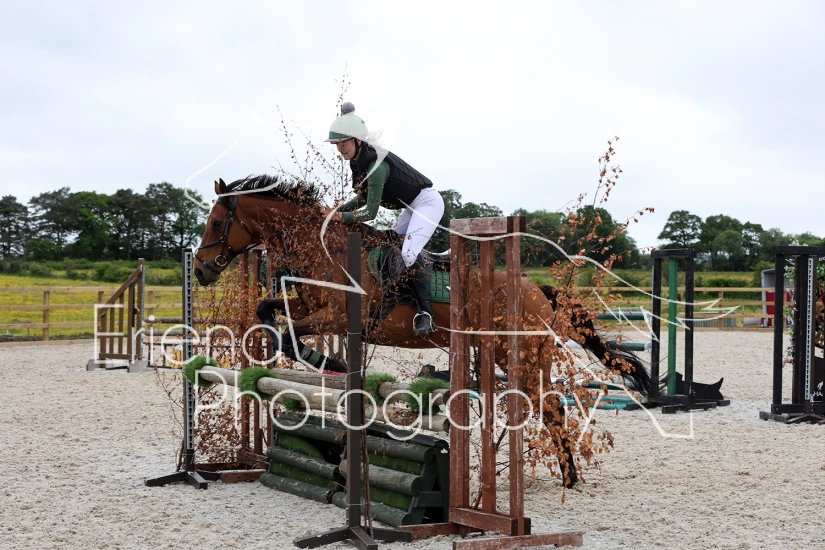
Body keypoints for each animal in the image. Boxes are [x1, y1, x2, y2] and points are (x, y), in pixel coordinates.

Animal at [193, 175, 665, 487]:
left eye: (216, 222)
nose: (199, 270)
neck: (324, 249)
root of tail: (536, 290)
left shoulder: (338, 318)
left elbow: (291, 335)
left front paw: (330, 362)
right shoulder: (309, 307)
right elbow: (267, 311)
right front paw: (319, 360)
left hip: (521, 356)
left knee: (550, 406)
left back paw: (570, 478)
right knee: (548, 407)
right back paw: (568, 476)